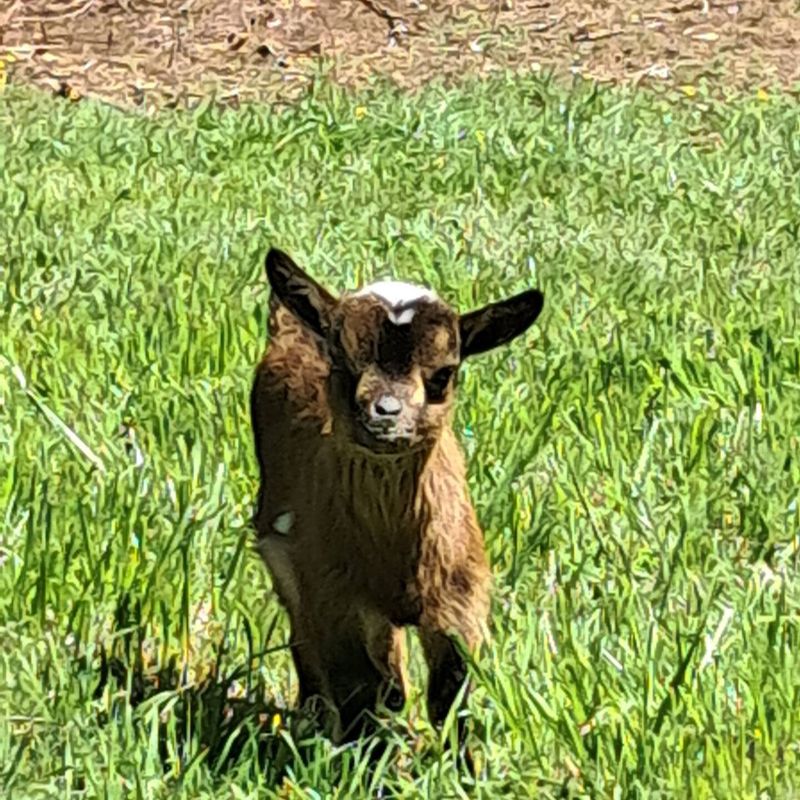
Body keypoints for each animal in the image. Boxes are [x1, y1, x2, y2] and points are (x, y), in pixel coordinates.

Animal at [250, 248, 544, 755]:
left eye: (444, 373)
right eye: (342, 363)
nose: (385, 415)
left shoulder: (461, 600)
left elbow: (451, 697)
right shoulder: (333, 594)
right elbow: (357, 693)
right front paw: (365, 762)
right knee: (310, 648)